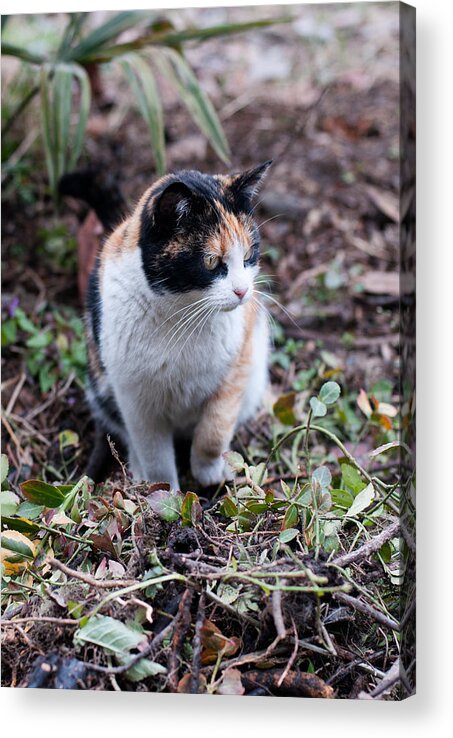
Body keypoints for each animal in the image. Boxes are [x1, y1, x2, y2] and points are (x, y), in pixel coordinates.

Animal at [65, 161, 270, 488]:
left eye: (249, 254)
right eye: (211, 261)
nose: (242, 291)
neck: (183, 316)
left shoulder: (237, 367)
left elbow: (214, 430)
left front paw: (209, 472)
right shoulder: (135, 398)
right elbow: (154, 454)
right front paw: (163, 491)